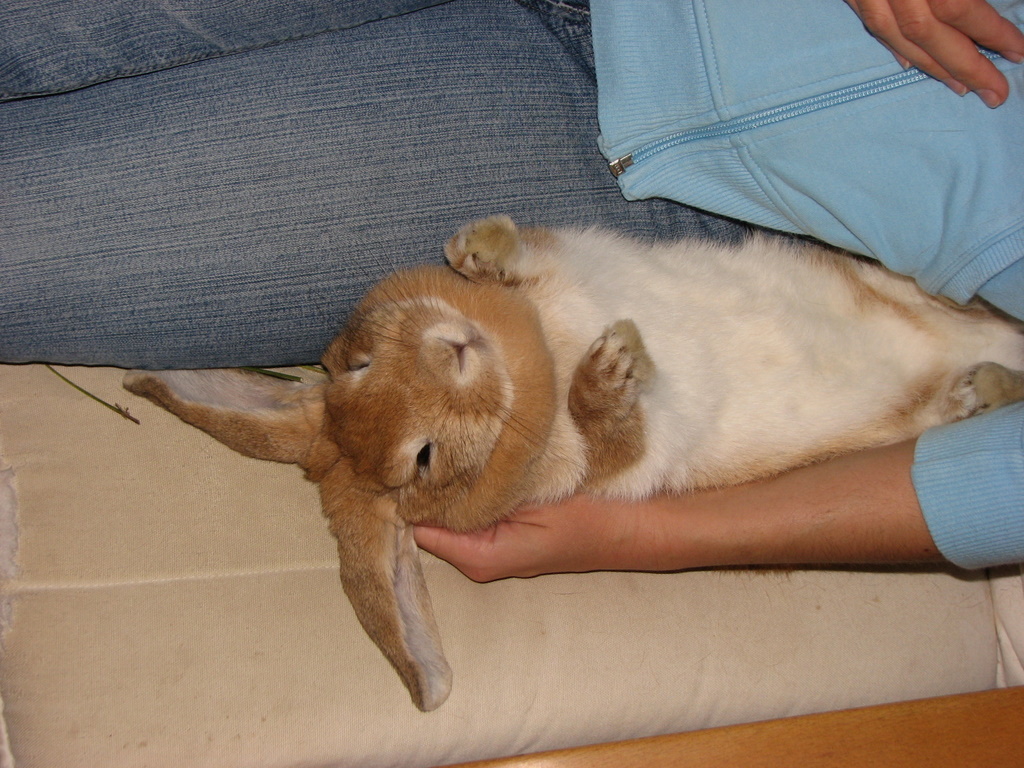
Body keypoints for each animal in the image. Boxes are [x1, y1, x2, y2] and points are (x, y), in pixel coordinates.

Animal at [123, 215, 1024, 711]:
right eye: (422, 461)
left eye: (355, 365)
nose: (453, 349)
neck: (542, 358)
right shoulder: (625, 468)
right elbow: (618, 436)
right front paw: (611, 370)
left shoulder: (561, 266)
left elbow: (521, 258)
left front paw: (478, 246)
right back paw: (978, 393)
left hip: (913, 289)